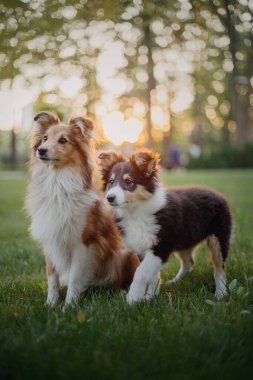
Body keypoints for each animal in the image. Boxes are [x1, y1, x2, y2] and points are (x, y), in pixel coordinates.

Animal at [25, 112, 139, 306]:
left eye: (63, 140)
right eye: (45, 138)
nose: (41, 150)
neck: (57, 184)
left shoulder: (83, 243)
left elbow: (74, 277)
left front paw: (69, 305)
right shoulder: (50, 240)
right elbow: (52, 277)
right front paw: (51, 304)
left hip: (123, 254)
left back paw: (124, 292)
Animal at [99, 148, 233, 302]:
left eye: (129, 181)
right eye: (111, 181)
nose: (109, 198)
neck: (136, 211)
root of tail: (219, 194)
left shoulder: (160, 246)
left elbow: (141, 272)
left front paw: (133, 298)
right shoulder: (143, 247)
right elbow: (152, 274)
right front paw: (150, 296)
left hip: (218, 238)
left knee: (219, 267)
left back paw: (221, 293)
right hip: (184, 239)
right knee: (189, 263)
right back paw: (173, 282)